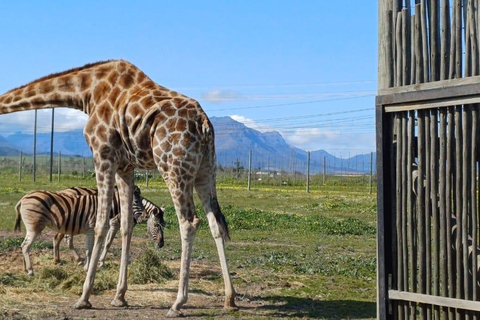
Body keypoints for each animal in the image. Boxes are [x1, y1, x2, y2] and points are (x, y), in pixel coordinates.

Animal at [15, 185, 144, 276]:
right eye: (136, 202)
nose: (141, 218)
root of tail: (23, 198)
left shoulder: (92, 229)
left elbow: (95, 247)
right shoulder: (92, 228)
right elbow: (90, 249)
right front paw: (88, 268)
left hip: (32, 227)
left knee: (23, 245)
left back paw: (25, 268)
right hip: (35, 226)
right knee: (26, 246)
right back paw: (30, 270)